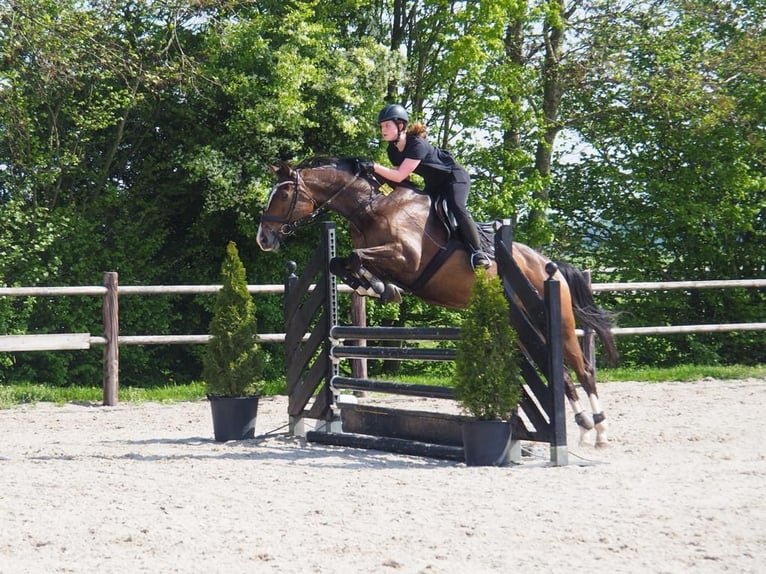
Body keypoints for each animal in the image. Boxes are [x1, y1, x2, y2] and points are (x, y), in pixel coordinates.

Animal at [256, 158, 616, 450]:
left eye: (283, 196)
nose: (263, 239)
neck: (370, 209)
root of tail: (548, 265)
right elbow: (340, 262)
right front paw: (377, 288)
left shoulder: (406, 258)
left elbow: (357, 257)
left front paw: (380, 288)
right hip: (527, 333)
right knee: (563, 374)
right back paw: (585, 427)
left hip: (555, 322)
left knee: (583, 371)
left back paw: (598, 431)